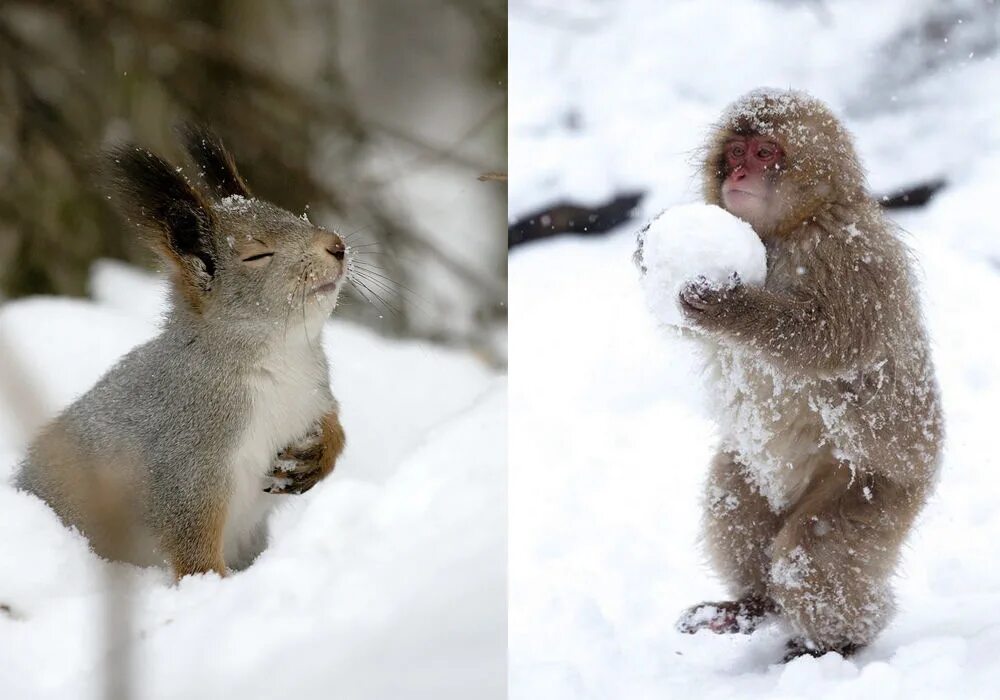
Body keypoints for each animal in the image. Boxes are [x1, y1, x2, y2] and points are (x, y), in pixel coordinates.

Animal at [12, 126, 352, 580]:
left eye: (296, 216)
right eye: (257, 254)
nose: (337, 244)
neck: (282, 358)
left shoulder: (314, 394)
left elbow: (333, 423)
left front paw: (318, 454)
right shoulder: (187, 460)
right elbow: (192, 541)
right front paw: (212, 585)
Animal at [676, 89, 940, 660]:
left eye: (765, 152)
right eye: (736, 151)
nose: (739, 174)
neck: (787, 229)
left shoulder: (850, 255)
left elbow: (829, 341)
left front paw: (731, 309)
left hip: (877, 491)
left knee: (813, 557)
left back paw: (835, 643)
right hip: (755, 467)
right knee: (733, 502)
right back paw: (752, 605)